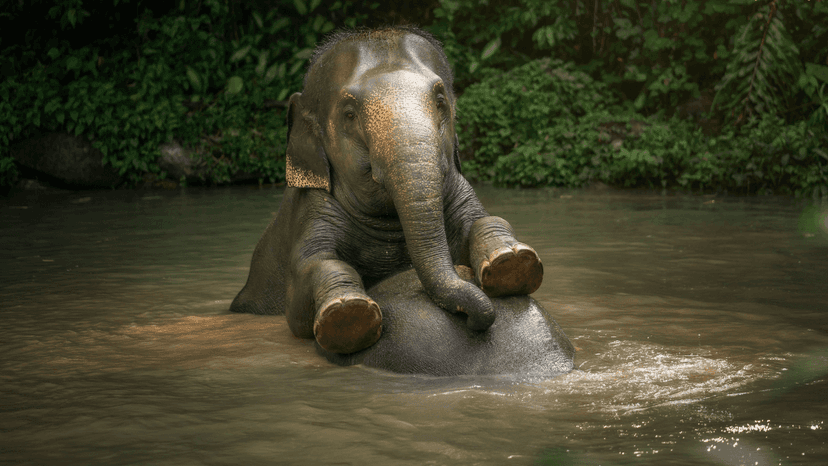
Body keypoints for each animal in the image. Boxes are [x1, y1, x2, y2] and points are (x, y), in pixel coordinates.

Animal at [230, 26, 545, 356]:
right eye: (349, 114)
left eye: (440, 101)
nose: (474, 319)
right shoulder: (314, 209)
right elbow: (309, 275)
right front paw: (348, 313)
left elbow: (485, 219)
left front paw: (512, 262)